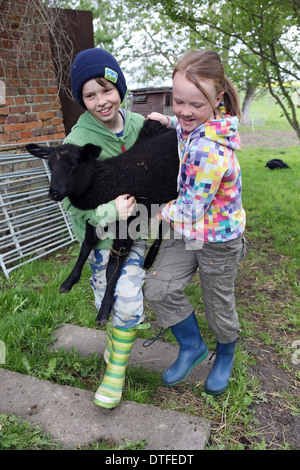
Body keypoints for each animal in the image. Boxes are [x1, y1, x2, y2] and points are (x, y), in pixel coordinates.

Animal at [25, 119, 179, 326]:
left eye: (74, 164)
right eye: (50, 165)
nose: (54, 193)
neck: (104, 182)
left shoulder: (125, 227)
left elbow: (112, 270)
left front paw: (104, 311)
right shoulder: (94, 219)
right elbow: (85, 248)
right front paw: (69, 281)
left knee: (164, 226)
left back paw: (150, 258)